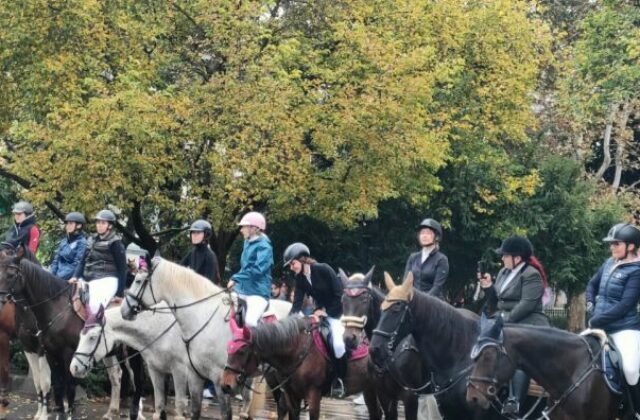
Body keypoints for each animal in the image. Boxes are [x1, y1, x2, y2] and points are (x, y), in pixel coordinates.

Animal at [119, 256, 292, 420]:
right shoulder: (195, 375)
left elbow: (226, 413)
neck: (203, 316)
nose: (124, 310)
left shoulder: (219, 377)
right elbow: (195, 411)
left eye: (138, 281)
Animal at [221, 316, 380, 420]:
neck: (297, 351)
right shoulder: (292, 397)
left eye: (242, 351)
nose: (225, 386)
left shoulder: (313, 395)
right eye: (228, 349)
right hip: (369, 389)